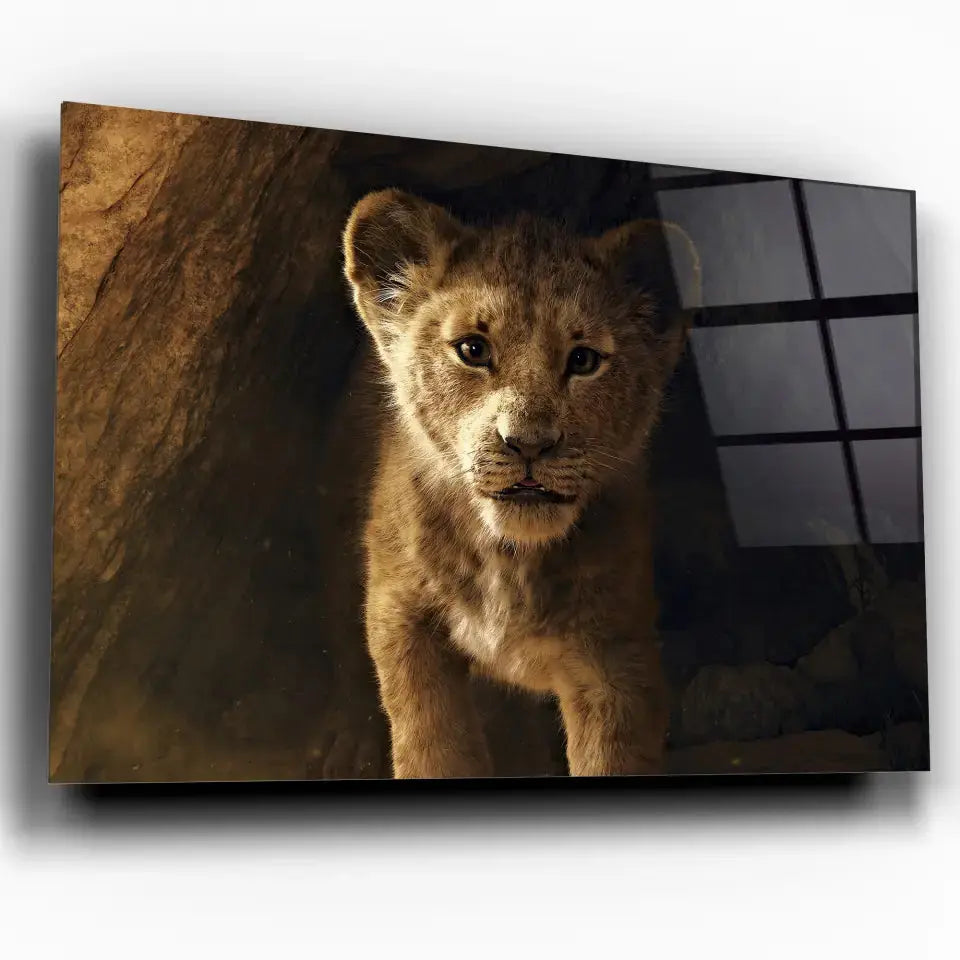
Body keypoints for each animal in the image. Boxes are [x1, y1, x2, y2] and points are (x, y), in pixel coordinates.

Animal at [342, 188, 700, 778]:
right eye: (472, 350)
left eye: (584, 360)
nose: (528, 444)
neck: (508, 559)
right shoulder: (400, 616)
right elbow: (432, 746)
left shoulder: (615, 651)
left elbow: (612, 757)